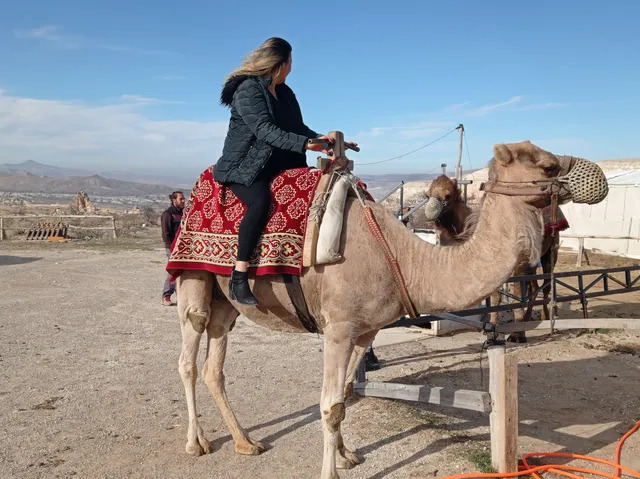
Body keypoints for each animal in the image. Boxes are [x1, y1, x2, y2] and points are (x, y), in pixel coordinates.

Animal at [423, 174, 564, 342]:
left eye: (448, 195)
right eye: (427, 195)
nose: (430, 211)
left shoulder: (517, 264)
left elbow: (516, 297)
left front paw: (517, 334)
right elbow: (496, 297)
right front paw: (491, 331)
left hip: (550, 251)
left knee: (547, 284)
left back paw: (546, 319)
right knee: (534, 286)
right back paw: (529, 317)